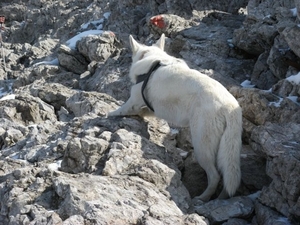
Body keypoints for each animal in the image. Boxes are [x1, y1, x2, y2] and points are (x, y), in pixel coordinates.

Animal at [109, 33, 243, 202]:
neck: (153, 61)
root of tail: (230, 106)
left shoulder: (134, 100)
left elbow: (122, 109)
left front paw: (110, 113)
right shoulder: (153, 107)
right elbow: (145, 111)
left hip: (202, 145)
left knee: (215, 176)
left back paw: (203, 198)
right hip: (227, 146)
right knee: (228, 175)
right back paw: (222, 198)